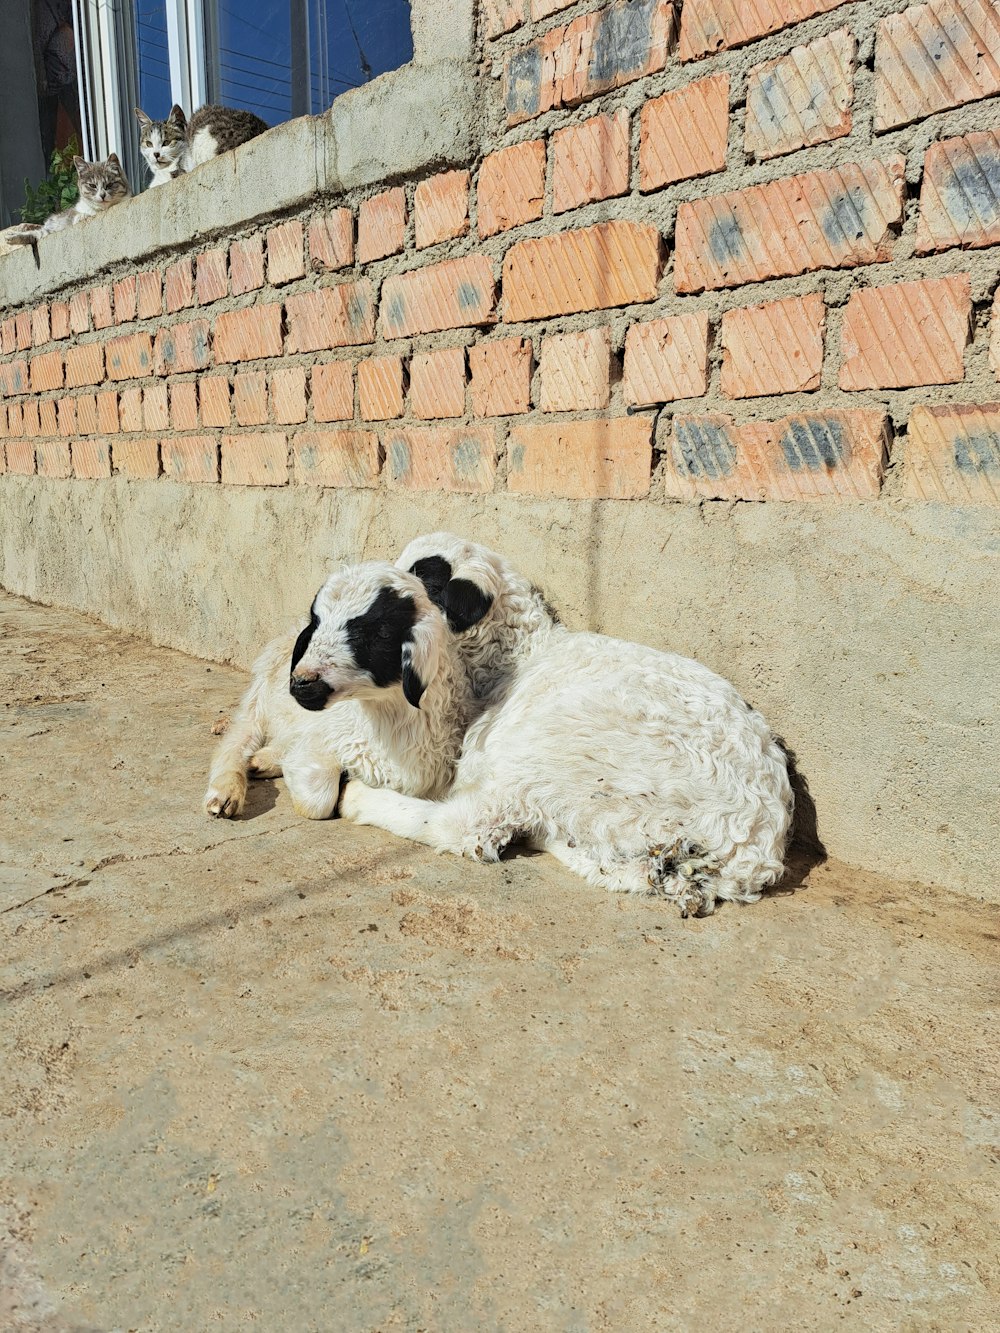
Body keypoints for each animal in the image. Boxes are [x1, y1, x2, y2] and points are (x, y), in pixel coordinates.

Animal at [204, 562, 474, 821]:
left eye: (382, 632)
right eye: (316, 623)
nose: (301, 681)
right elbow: (317, 801)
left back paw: (261, 761)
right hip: (262, 691)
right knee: (239, 737)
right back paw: (224, 794)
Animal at [344, 530, 800, 917]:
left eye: (415, 584)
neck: (519, 657)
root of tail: (753, 851)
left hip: (554, 759)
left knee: (467, 826)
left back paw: (359, 799)